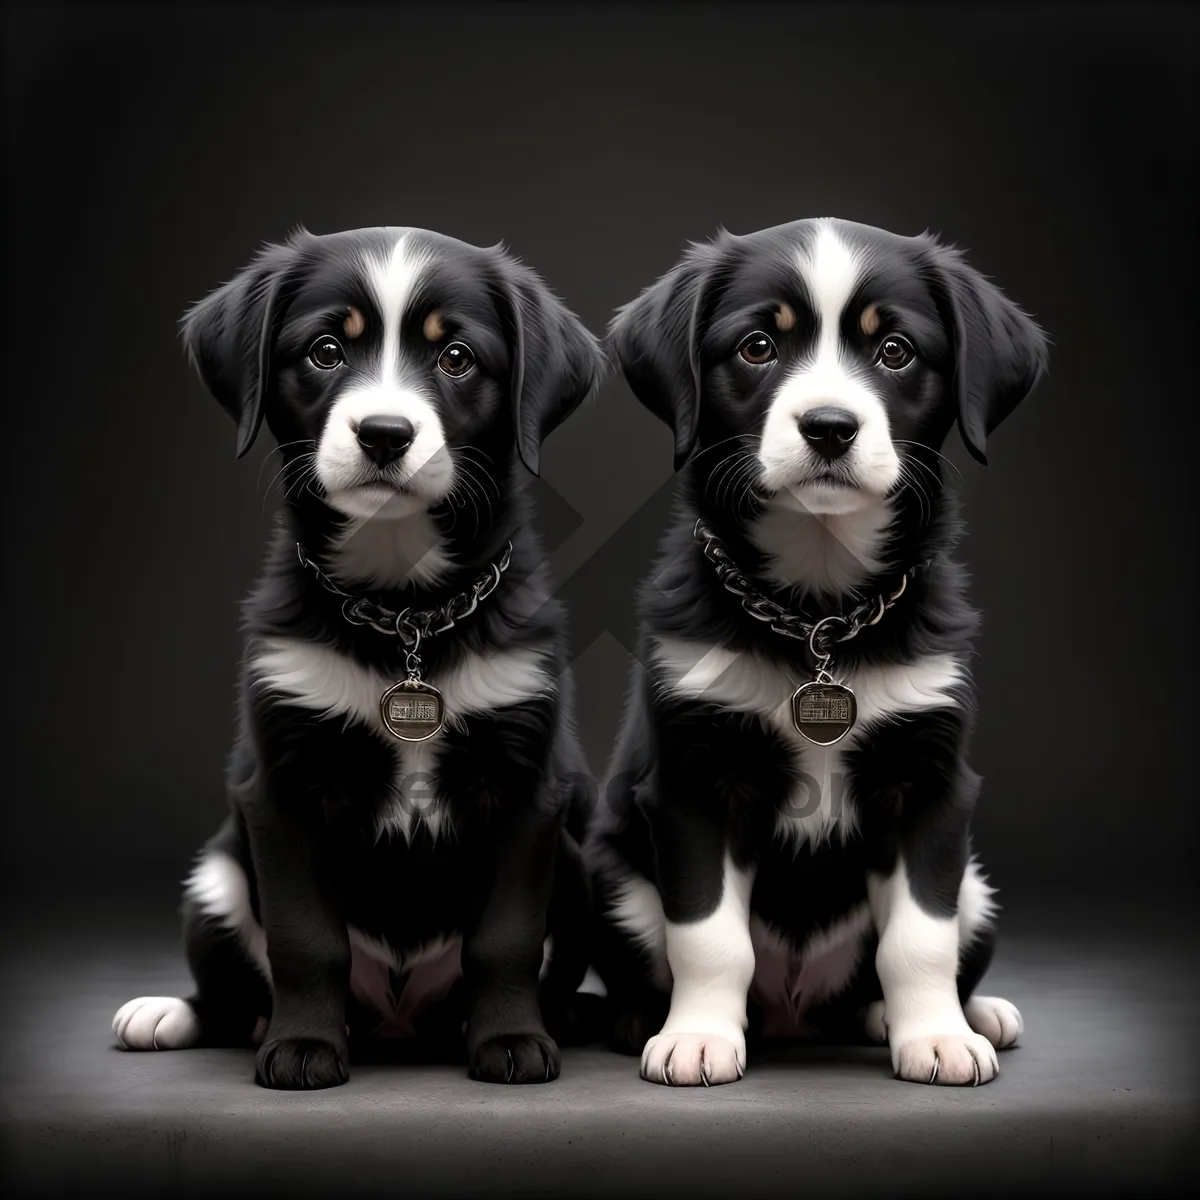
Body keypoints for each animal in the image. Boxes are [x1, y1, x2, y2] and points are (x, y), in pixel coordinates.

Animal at [111, 225, 604, 1089]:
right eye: (326, 350)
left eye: (456, 358)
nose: (383, 433)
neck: (404, 612)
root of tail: (399, 1022)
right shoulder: (280, 787)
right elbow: (306, 939)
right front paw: (304, 1045)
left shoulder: (528, 790)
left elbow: (504, 937)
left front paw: (511, 1040)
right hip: (213, 879)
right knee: (232, 987)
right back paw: (176, 1014)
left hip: (574, 868)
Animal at [590, 216, 1051, 1089]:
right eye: (759, 346)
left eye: (896, 350)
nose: (830, 426)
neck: (818, 613)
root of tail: (795, 1014)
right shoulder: (694, 781)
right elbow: (707, 935)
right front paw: (697, 1036)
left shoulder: (931, 781)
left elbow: (920, 937)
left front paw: (937, 1037)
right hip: (611, 873)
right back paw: (639, 1018)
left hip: (978, 888)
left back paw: (967, 1014)